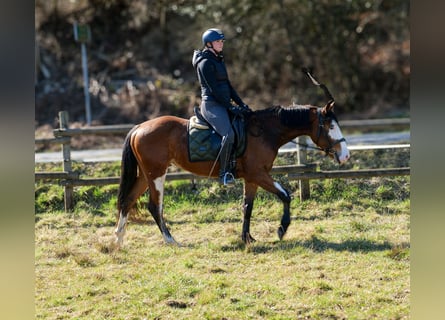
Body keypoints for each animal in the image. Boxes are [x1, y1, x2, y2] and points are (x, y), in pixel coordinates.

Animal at [112, 100, 348, 248]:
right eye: (330, 126)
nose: (345, 155)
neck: (265, 132)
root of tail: (139, 127)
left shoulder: (252, 178)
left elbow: (247, 206)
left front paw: (247, 238)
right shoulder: (259, 174)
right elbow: (285, 195)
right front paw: (281, 229)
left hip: (146, 175)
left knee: (128, 201)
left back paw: (118, 240)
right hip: (156, 174)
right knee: (154, 206)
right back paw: (170, 240)